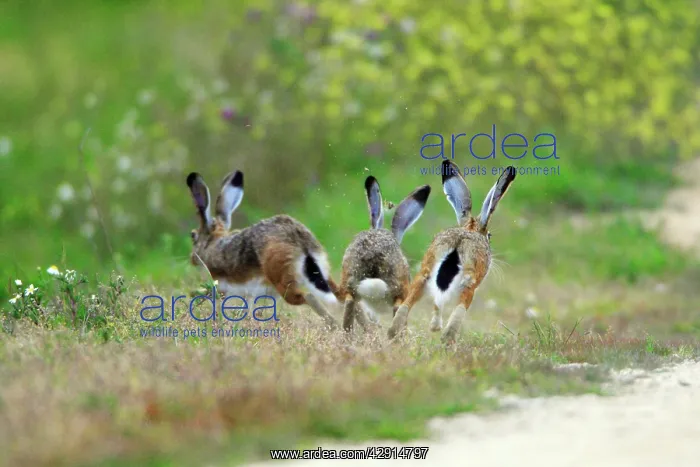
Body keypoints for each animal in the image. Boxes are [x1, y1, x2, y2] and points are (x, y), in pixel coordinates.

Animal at [186, 170, 342, 330]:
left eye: (193, 235)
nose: (192, 258)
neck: (212, 244)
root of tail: (301, 243)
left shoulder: (224, 287)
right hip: (322, 271)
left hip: (281, 279)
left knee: (308, 296)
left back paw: (335, 326)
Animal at [387, 160, 517, 343]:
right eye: (489, 235)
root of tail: (458, 242)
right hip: (469, 281)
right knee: (459, 307)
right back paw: (446, 339)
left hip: (426, 270)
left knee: (408, 303)